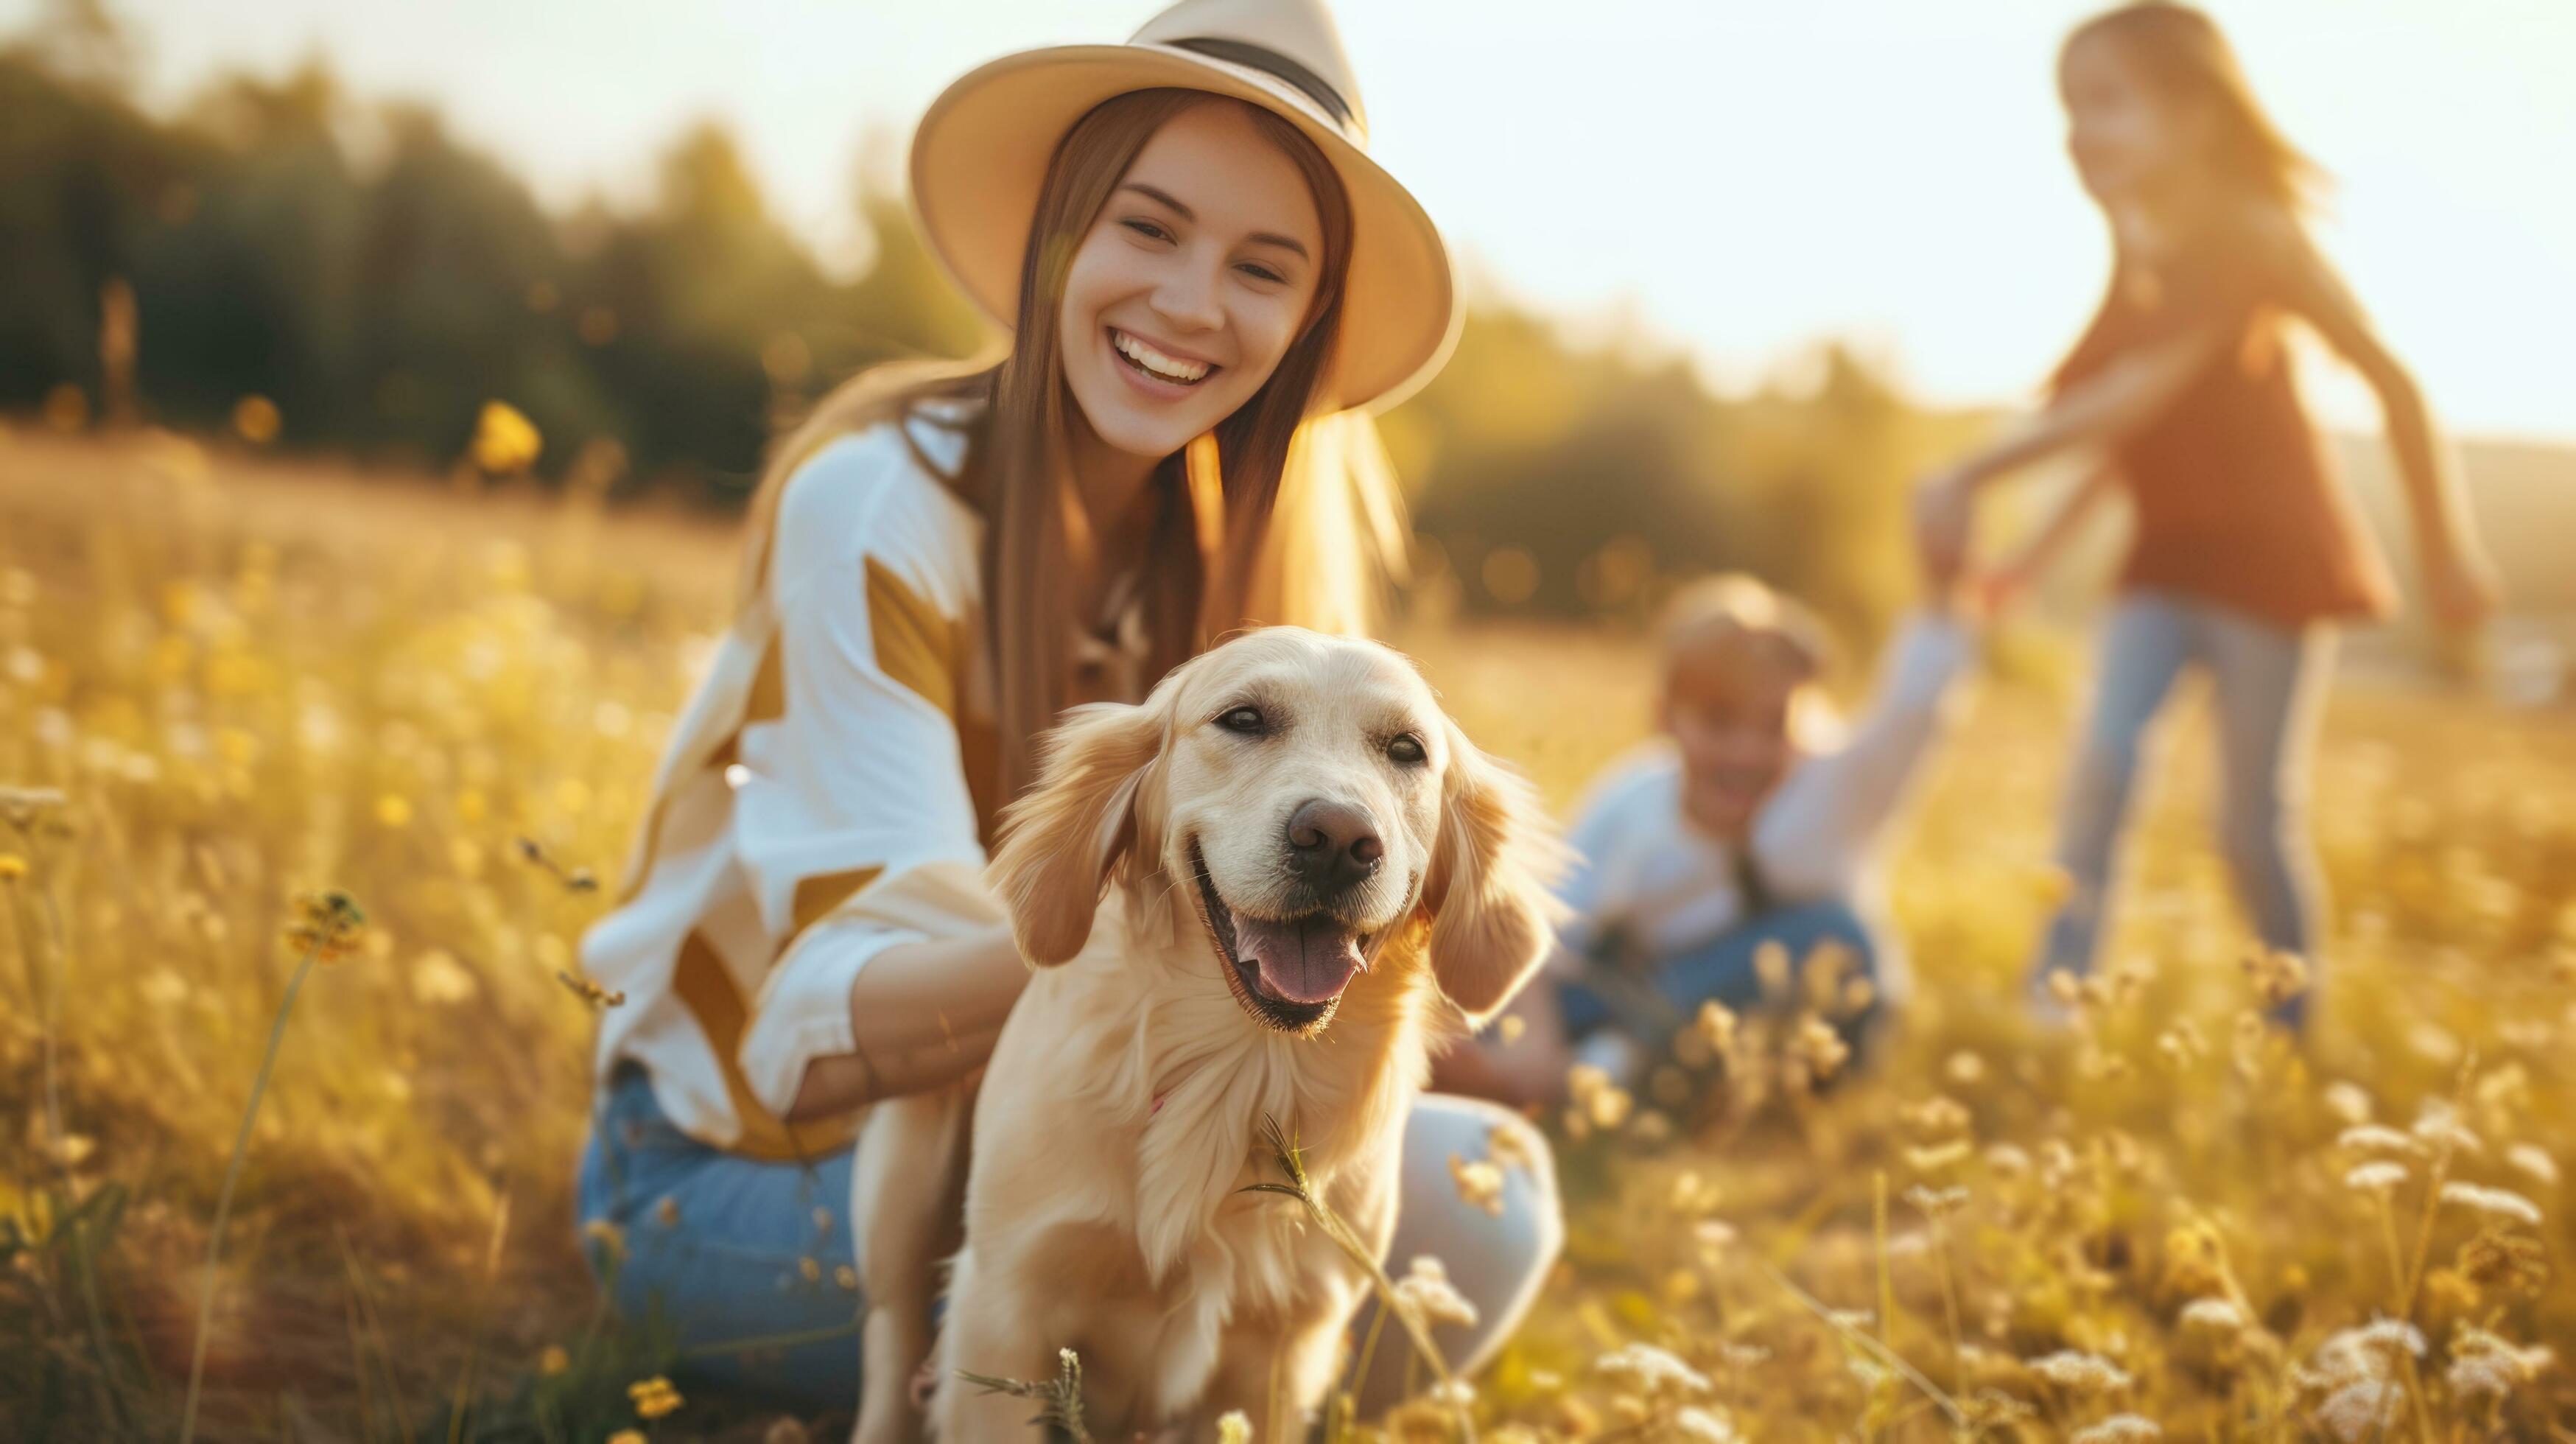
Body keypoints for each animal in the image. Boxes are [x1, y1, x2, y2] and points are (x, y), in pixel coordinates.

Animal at [855, 631, 1556, 1444]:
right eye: (1243, 718)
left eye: (1406, 749)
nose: (1338, 839)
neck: (1238, 1070)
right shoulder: (1003, 1309)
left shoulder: (1286, 1346)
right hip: (903, 1178)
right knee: (892, 1340)